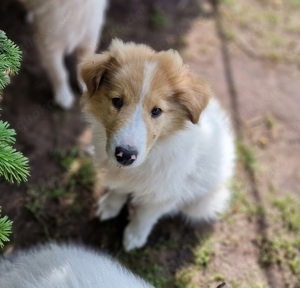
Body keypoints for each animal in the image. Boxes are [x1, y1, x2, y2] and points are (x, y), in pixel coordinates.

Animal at [80, 39, 237, 251]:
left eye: (156, 111)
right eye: (117, 101)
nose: (125, 155)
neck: (155, 150)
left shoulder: (166, 192)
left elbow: (146, 215)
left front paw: (134, 236)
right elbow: (118, 189)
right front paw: (110, 206)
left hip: (201, 204)